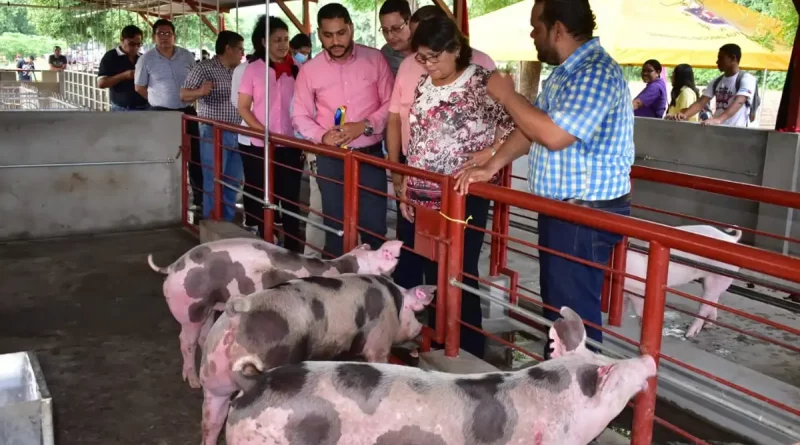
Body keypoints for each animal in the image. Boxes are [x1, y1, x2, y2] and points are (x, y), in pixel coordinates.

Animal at [147, 238, 404, 386]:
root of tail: (173, 266)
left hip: (210, 304)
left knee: (203, 333)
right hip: (191, 305)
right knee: (186, 340)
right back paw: (193, 382)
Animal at [200, 272, 438, 444]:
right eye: (416, 312)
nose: (419, 328)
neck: (395, 302)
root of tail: (237, 314)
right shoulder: (379, 339)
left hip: (213, 375)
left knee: (212, 421)